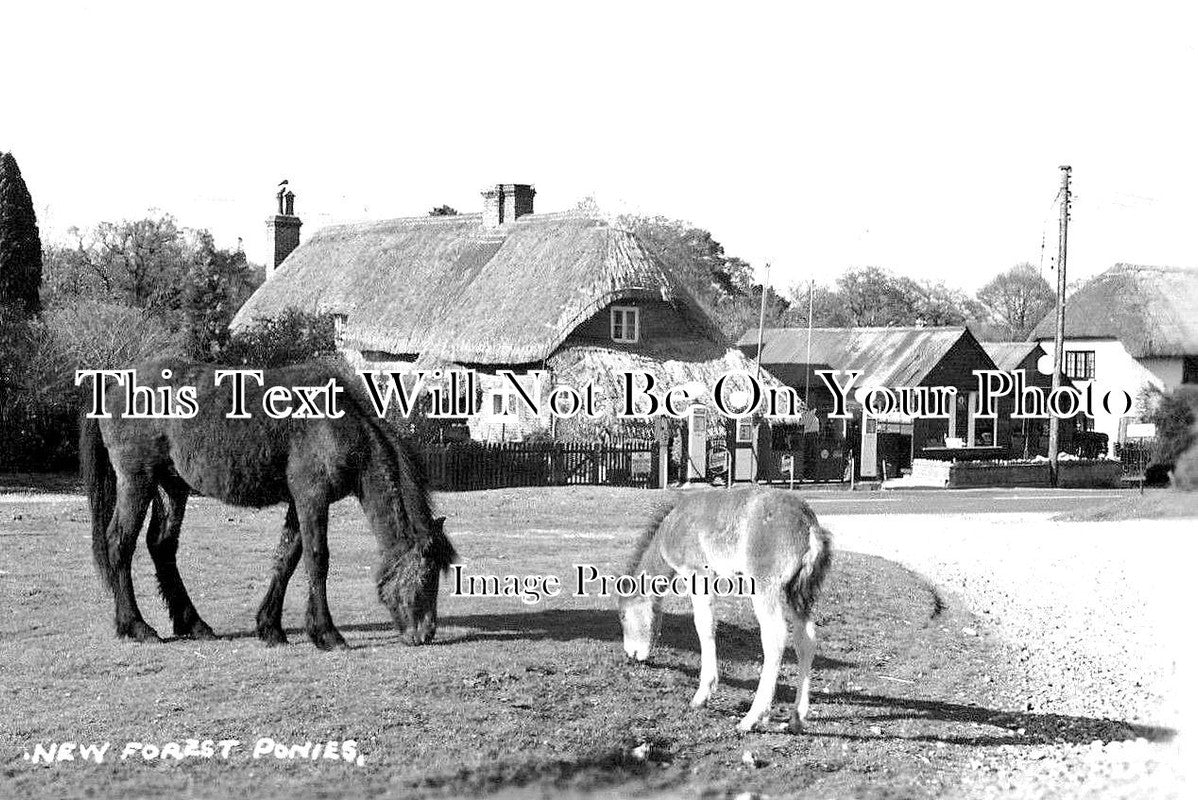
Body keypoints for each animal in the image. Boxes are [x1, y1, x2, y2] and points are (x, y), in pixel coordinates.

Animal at [78, 356, 452, 651]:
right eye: (427, 576)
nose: (425, 634)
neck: (338, 425)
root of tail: (114, 382)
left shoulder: (298, 502)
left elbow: (286, 558)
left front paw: (270, 628)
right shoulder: (312, 498)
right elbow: (317, 559)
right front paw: (327, 634)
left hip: (172, 488)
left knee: (162, 547)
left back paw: (194, 624)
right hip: (137, 482)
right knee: (119, 545)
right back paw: (137, 626)